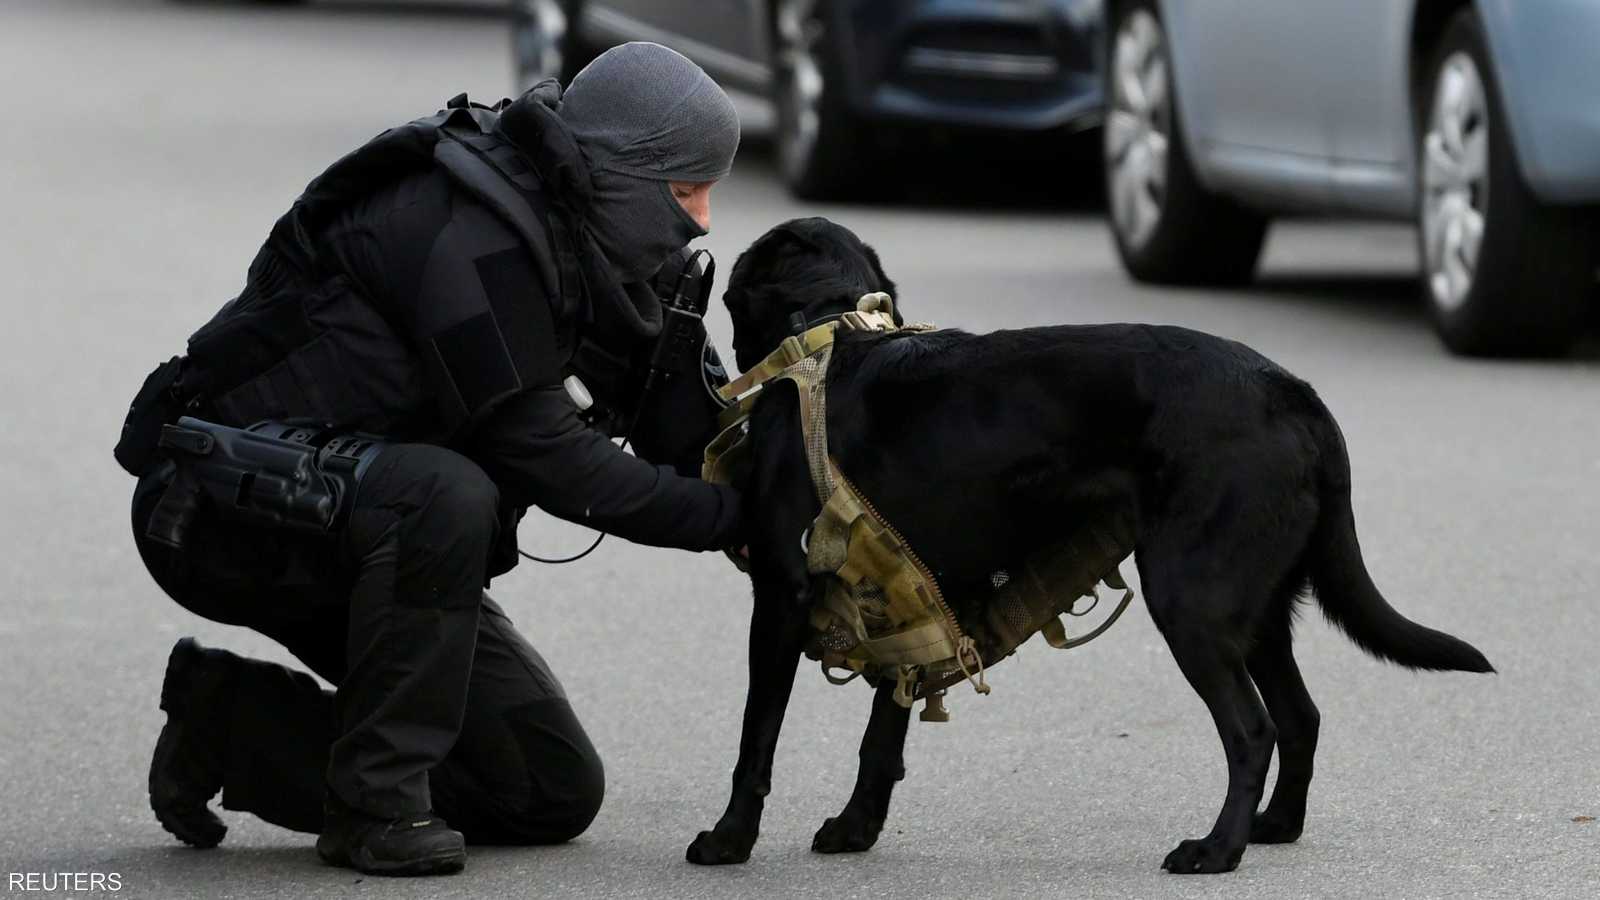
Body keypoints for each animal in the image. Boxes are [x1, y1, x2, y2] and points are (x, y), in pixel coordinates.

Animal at [684, 216, 1484, 871]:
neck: (833, 336)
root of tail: (1294, 393)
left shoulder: (781, 596)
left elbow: (757, 738)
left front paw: (729, 840)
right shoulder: (905, 597)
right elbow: (884, 731)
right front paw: (857, 829)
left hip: (1191, 602)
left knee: (1252, 729)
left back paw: (1216, 850)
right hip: (1253, 610)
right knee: (1300, 718)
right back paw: (1274, 826)